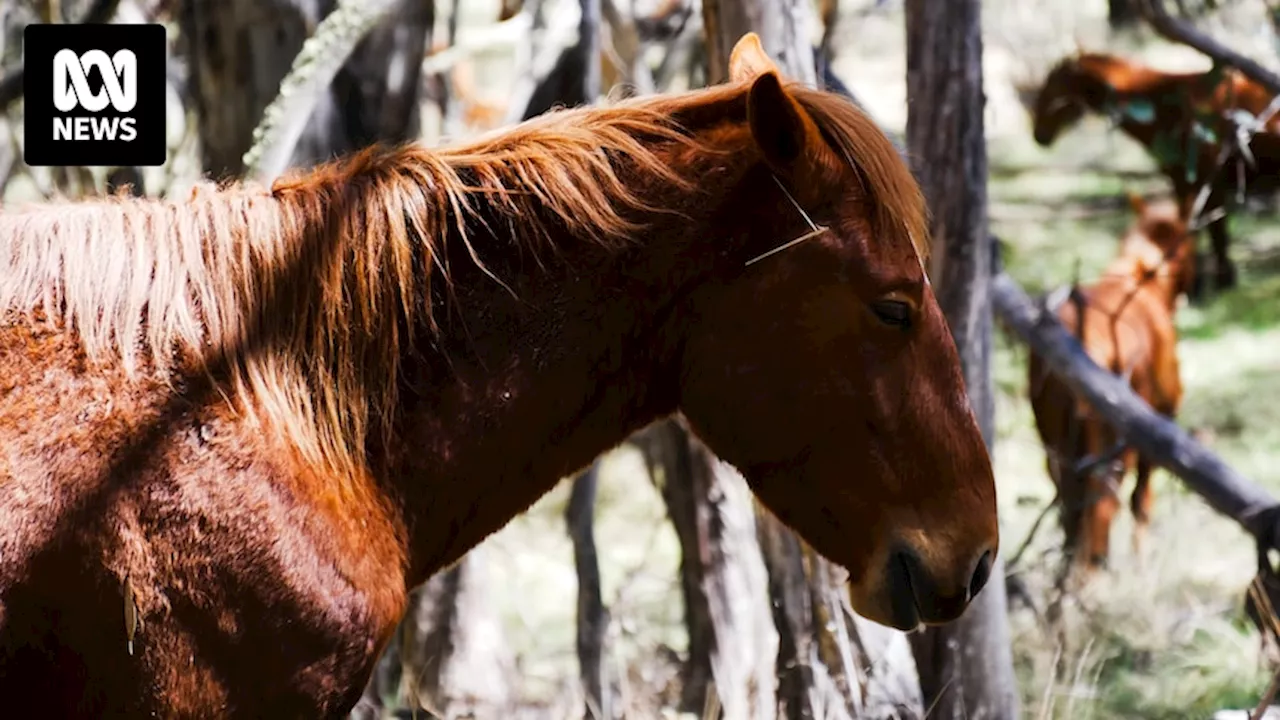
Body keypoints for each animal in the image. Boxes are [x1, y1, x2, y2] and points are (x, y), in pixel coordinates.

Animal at [1024, 51, 1280, 294]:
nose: (1039, 135)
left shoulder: (1206, 179)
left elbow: (1214, 233)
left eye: (1054, 88)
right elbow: (1193, 228)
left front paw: (1216, 282)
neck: (1164, 104)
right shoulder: (1183, 180)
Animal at [1024, 192, 1192, 576]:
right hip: (1112, 449)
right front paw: (1141, 563)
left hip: (1056, 444)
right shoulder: (1161, 424)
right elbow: (1142, 502)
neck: (1140, 279)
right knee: (1101, 508)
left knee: (1070, 508)